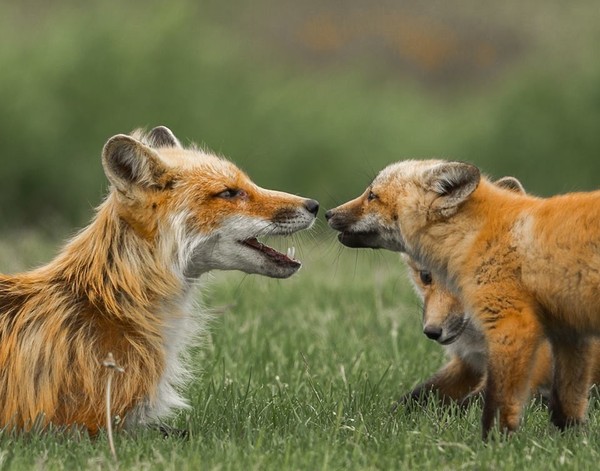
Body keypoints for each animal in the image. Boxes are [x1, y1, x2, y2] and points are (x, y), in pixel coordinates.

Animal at [328, 159, 600, 438]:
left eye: (372, 195)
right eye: (425, 276)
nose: (328, 213)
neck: (478, 338)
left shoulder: (533, 356)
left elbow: (472, 404)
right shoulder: (468, 362)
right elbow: (417, 395)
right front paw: (384, 418)